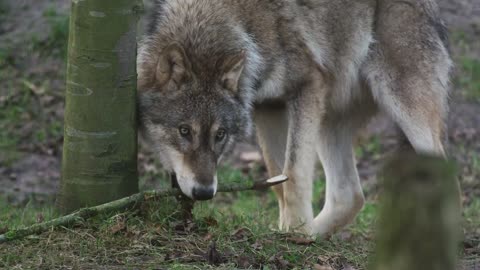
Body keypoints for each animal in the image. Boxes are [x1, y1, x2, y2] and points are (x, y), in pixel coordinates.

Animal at [137, 0, 452, 236]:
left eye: (220, 134)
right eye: (184, 131)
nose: (204, 192)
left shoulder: (308, 85)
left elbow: (295, 176)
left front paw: (295, 231)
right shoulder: (268, 107)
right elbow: (278, 179)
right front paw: (289, 234)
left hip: (404, 108)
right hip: (328, 120)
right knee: (350, 195)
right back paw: (312, 236)